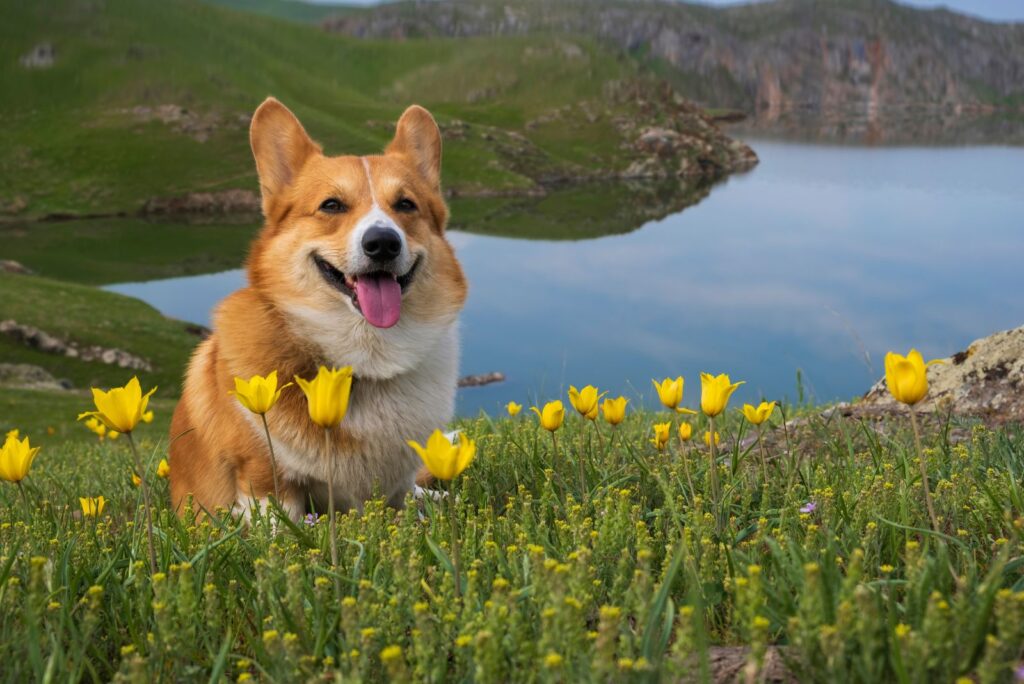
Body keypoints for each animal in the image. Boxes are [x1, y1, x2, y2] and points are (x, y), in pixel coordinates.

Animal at [171, 98, 468, 520]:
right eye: (332, 205)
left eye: (406, 205)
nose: (383, 243)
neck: (369, 357)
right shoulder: (264, 479)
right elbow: (280, 525)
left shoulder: (398, 483)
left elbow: (406, 503)